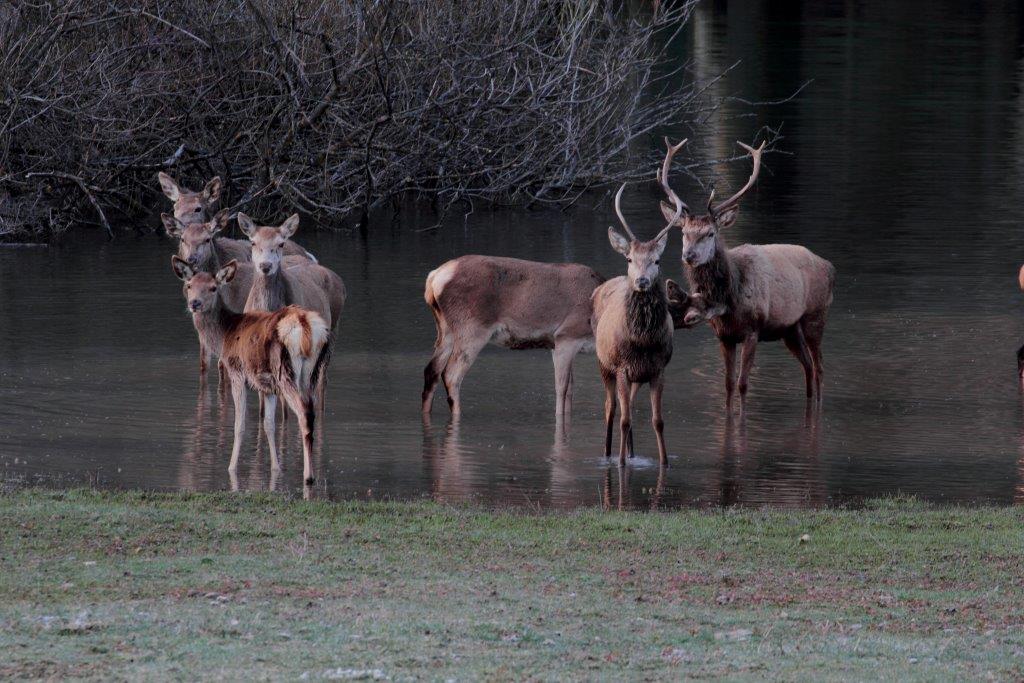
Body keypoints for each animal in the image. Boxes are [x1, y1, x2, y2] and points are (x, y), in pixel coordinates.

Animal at [172, 255, 329, 485]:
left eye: (213, 288)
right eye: (190, 285)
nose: (195, 303)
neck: (225, 336)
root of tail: (305, 324)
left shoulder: (236, 372)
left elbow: (240, 425)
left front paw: (231, 468)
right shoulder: (267, 386)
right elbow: (269, 425)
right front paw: (275, 468)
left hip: (286, 372)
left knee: (304, 415)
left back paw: (308, 476)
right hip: (312, 372)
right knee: (312, 412)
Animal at [421, 253, 606, 419]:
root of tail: (433, 278)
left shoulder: (558, 344)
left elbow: (570, 389)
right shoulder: (566, 336)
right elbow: (562, 388)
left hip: (446, 330)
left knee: (431, 371)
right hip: (471, 328)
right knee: (451, 375)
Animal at [589, 184, 684, 466]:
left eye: (657, 260)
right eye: (630, 259)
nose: (642, 280)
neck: (642, 340)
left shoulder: (658, 369)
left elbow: (658, 420)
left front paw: (664, 461)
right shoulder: (621, 367)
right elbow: (623, 419)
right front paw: (620, 464)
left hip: (636, 377)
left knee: (628, 406)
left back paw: (632, 454)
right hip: (603, 363)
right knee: (611, 409)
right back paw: (609, 454)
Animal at [659, 139, 835, 405]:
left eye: (710, 233)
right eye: (684, 233)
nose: (689, 256)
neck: (731, 293)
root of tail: (830, 267)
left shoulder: (753, 329)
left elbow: (743, 384)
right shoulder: (724, 336)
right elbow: (728, 384)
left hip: (815, 315)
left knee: (819, 367)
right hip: (789, 329)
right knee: (807, 366)